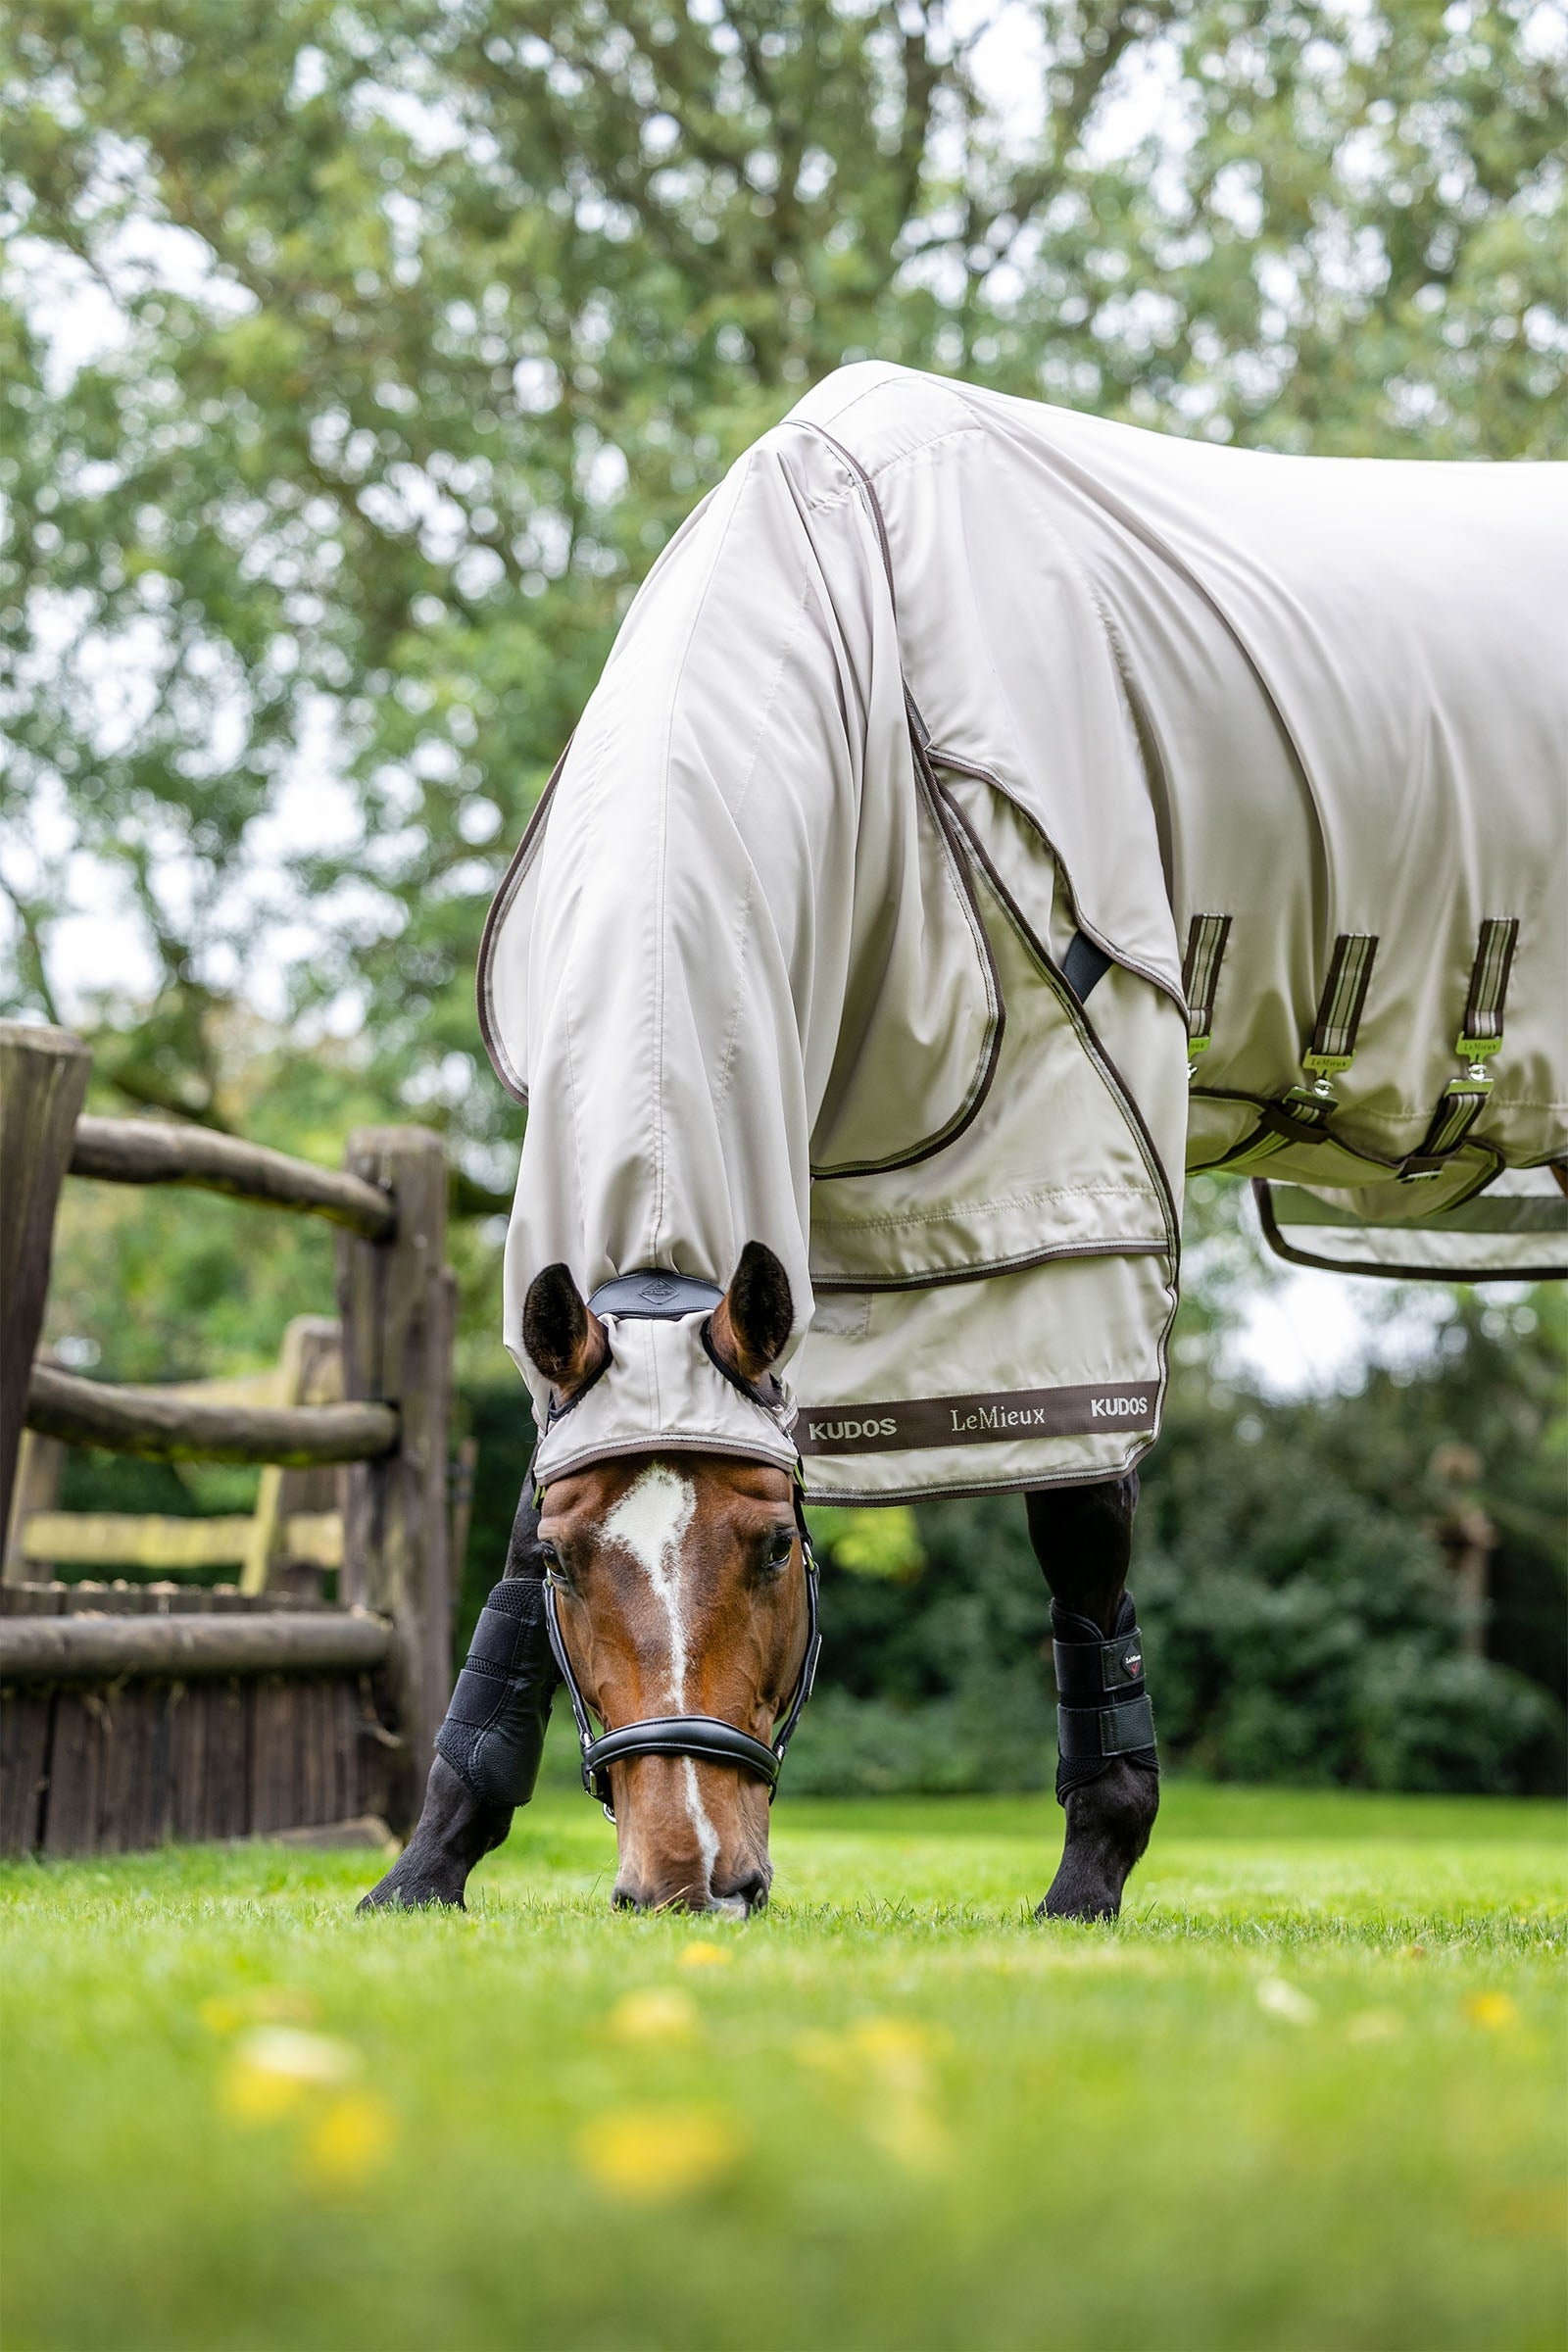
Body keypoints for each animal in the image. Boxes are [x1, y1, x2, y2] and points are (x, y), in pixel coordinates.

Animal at [363, 363, 1567, 1921]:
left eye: (773, 1544)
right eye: (575, 1569)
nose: (691, 1878)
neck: (866, 651)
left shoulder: (1062, 1219)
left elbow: (1080, 1530)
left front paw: (1090, 1879)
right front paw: (428, 1863)